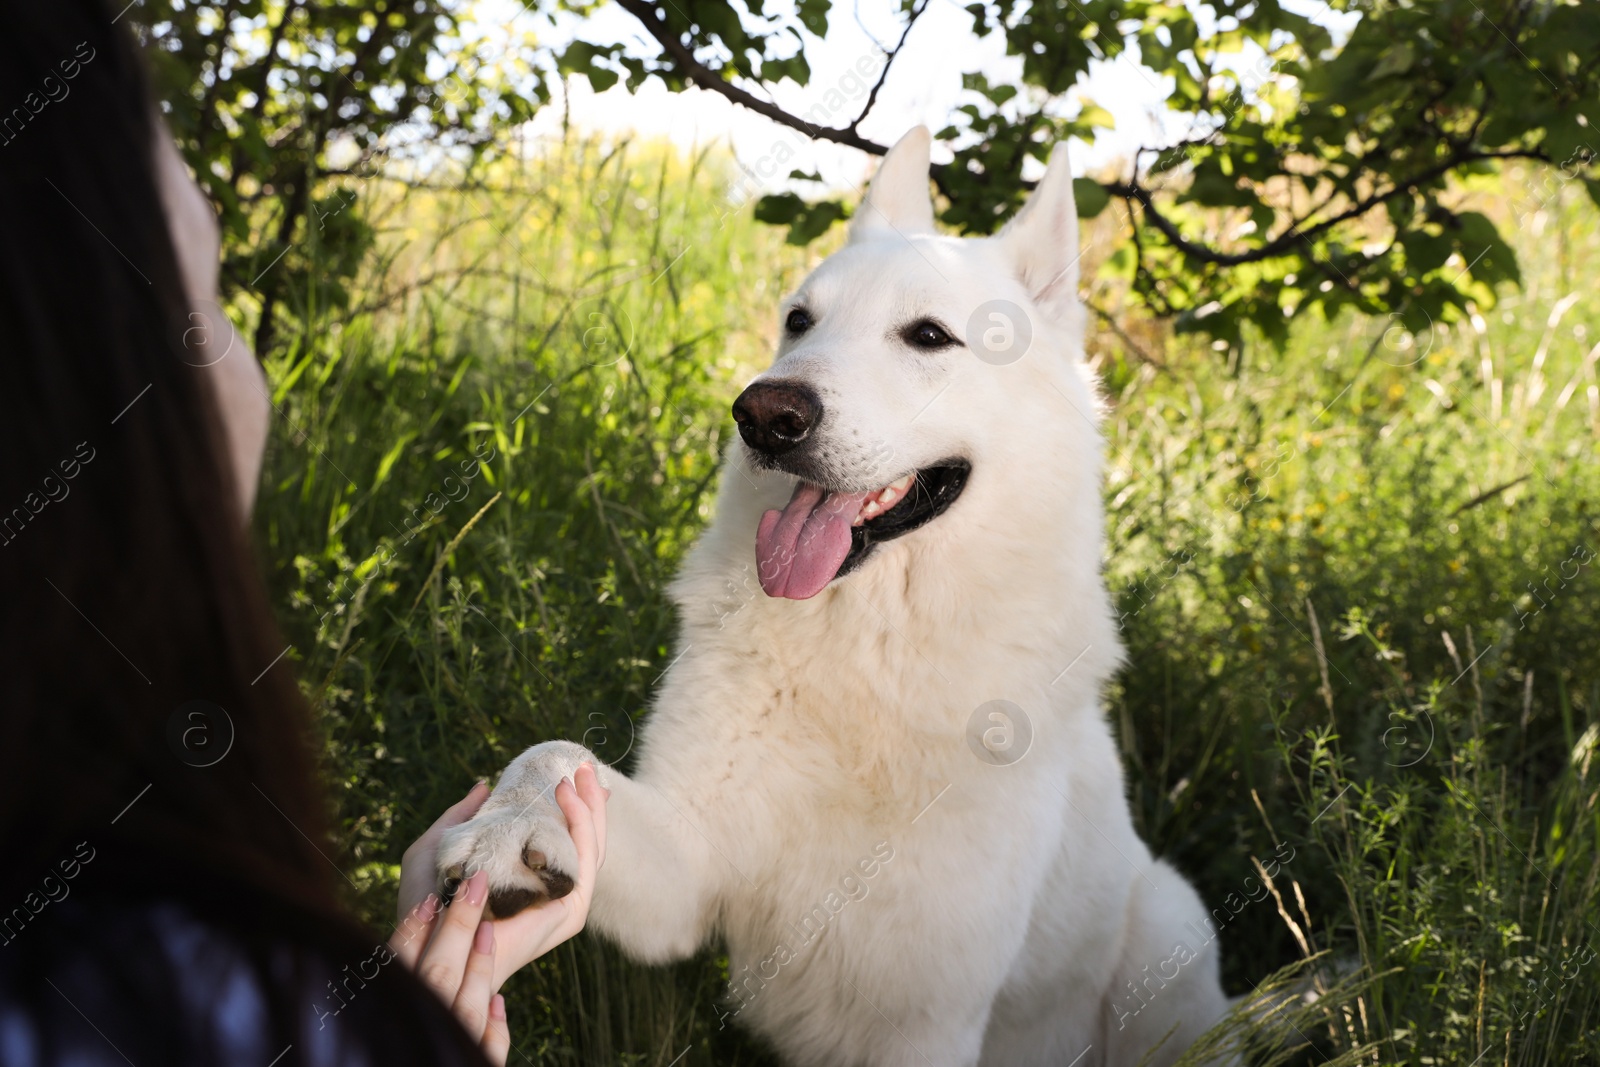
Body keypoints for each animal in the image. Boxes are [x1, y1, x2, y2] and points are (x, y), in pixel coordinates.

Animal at [444, 127, 1228, 1067]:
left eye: (928, 336)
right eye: (799, 322)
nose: (764, 414)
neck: (867, 652)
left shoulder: (926, 1016)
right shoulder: (689, 868)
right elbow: (555, 756)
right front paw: (508, 829)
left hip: (1174, 923)